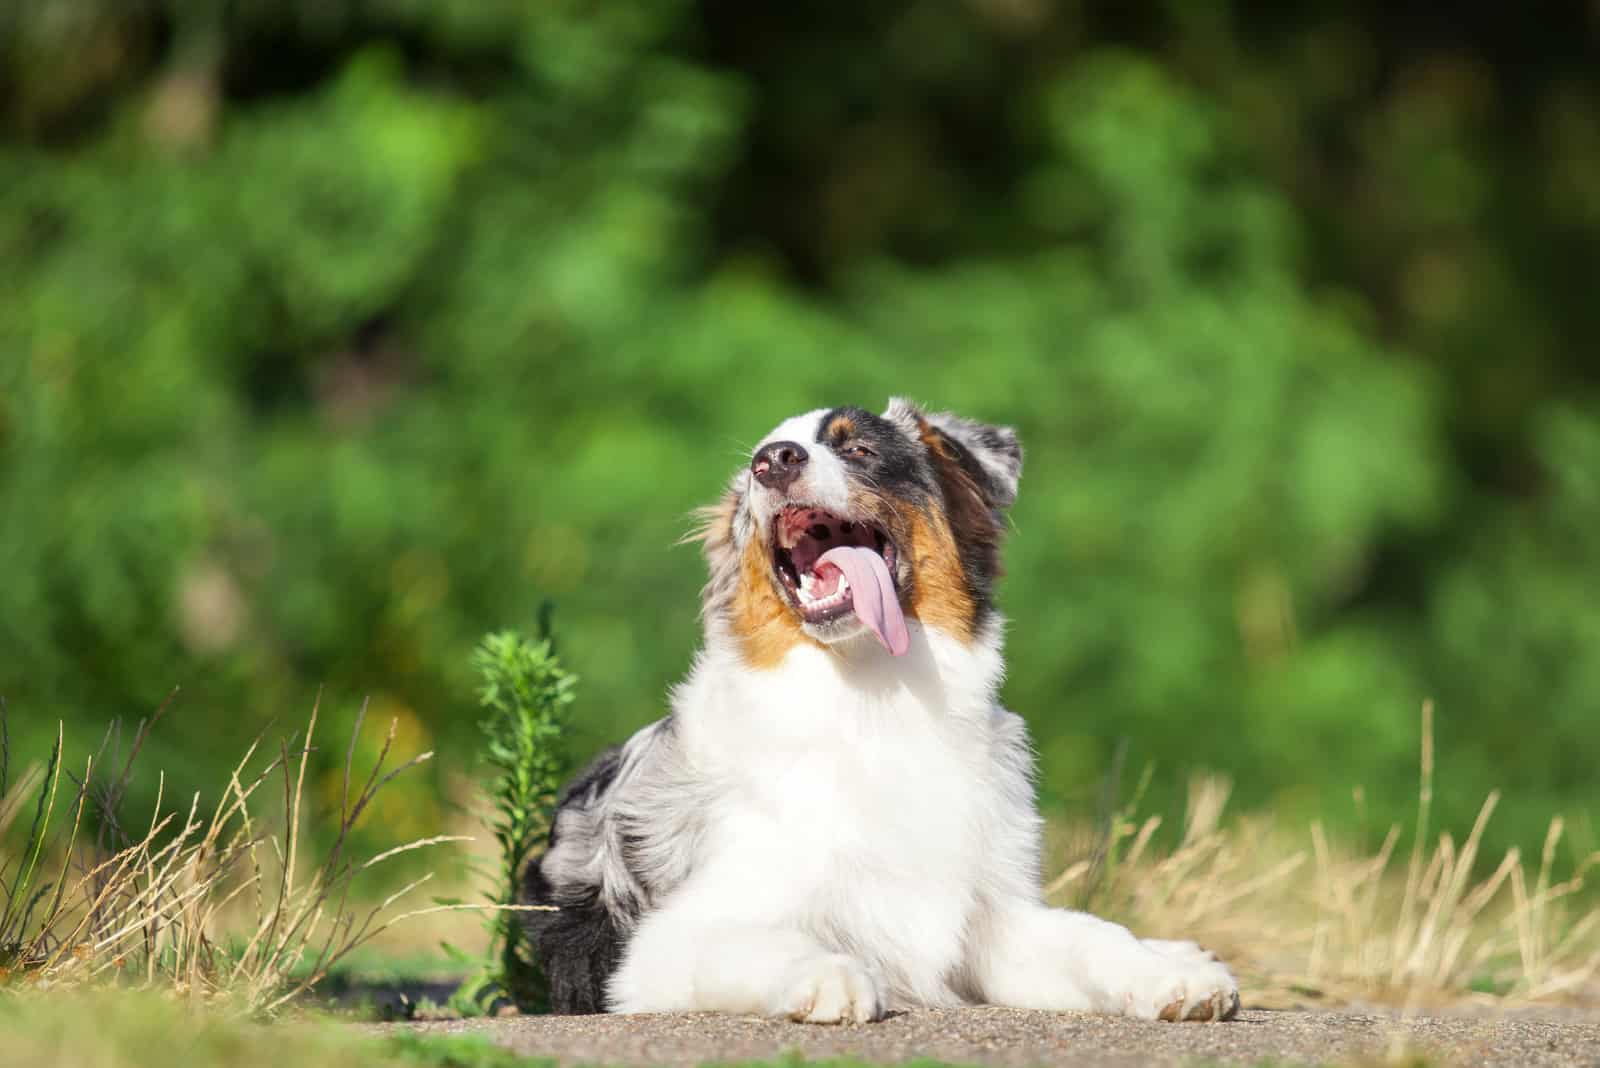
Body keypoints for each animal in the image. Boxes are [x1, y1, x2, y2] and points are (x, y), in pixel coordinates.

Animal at [518, 402, 1241, 1023]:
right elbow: (761, 942)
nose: (772, 461)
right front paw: (828, 975)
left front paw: (1165, 977)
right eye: (755, 465)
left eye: (859, 448)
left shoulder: (989, 922)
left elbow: (1094, 934)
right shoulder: (661, 948)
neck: (873, 700)